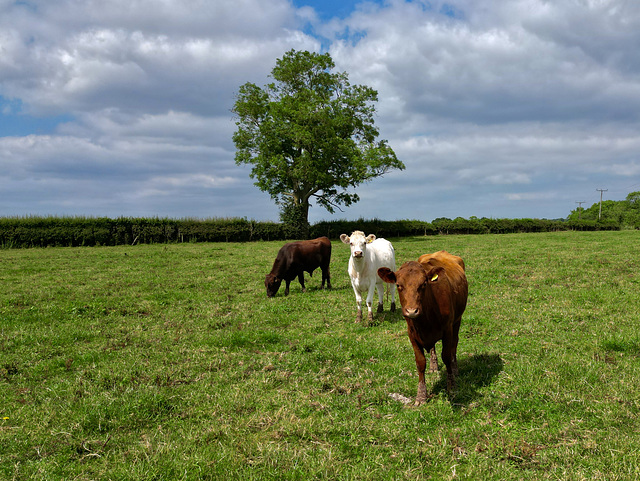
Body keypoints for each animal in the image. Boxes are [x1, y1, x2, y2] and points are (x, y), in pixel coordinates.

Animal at [378, 251, 468, 404]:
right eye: (398, 285)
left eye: (424, 284)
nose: (412, 311)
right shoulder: (412, 334)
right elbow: (420, 363)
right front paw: (421, 395)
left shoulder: (448, 330)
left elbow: (447, 356)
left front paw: (451, 387)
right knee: (432, 348)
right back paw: (433, 365)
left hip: (457, 320)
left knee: (454, 344)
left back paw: (455, 368)